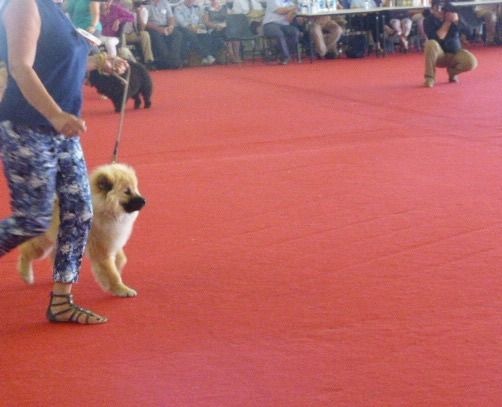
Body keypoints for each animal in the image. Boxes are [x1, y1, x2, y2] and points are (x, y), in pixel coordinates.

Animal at [17, 163, 146, 297]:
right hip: (43, 244)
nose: (144, 201)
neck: (105, 210)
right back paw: (27, 276)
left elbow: (121, 259)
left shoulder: (111, 240)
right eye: (127, 191)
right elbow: (111, 274)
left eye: (135, 188)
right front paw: (122, 289)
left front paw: (118, 268)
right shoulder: (101, 250)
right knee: (26, 253)